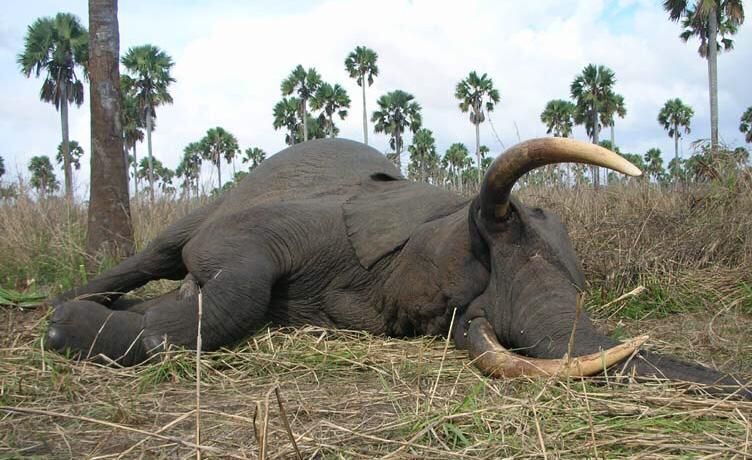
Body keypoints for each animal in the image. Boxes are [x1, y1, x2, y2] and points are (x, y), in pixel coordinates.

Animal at [47, 137, 747, 395]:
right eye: (485, 234)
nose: (737, 389)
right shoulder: (295, 222)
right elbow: (237, 286)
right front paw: (62, 329)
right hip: (217, 201)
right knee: (160, 253)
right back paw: (65, 306)